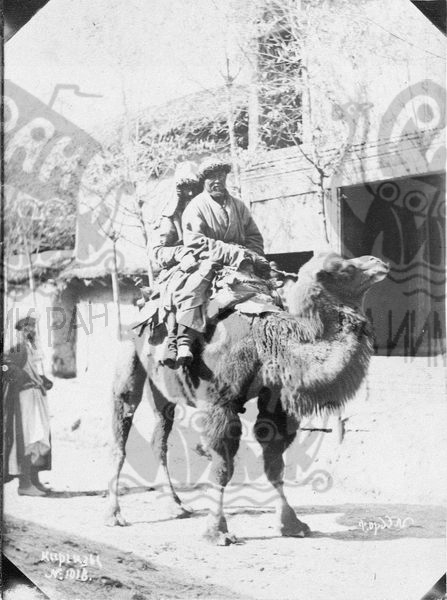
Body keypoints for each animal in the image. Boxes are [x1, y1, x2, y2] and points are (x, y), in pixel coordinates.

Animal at [106, 252, 388, 544]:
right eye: (345, 268)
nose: (379, 262)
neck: (266, 342)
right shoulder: (219, 403)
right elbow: (223, 468)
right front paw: (217, 531)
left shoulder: (276, 403)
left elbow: (274, 465)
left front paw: (292, 524)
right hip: (128, 360)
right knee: (121, 431)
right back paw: (114, 514)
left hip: (164, 391)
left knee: (159, 439)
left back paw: (176, 506)